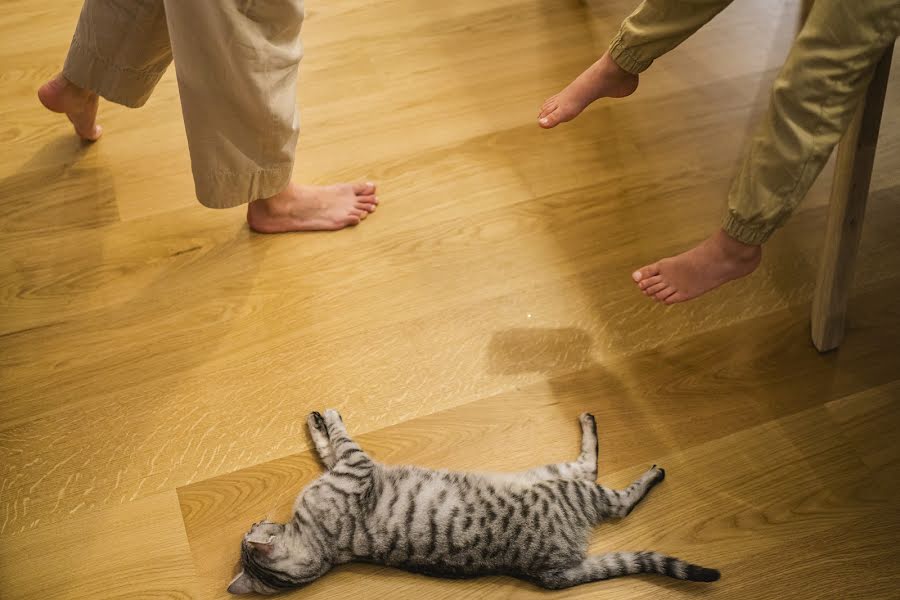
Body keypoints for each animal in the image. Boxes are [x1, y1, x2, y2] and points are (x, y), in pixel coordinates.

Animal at [229, 410, 720, 592]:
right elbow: (341, 437)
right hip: (566, 485)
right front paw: (329, 416)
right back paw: (636, 461)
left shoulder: (345, 467)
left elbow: (329, 444)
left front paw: (317, 421)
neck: (325, 550)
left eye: (252, 526)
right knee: (609, 490)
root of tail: (550, 571)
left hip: (554, 477)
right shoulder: (355, 467)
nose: (251, 522)